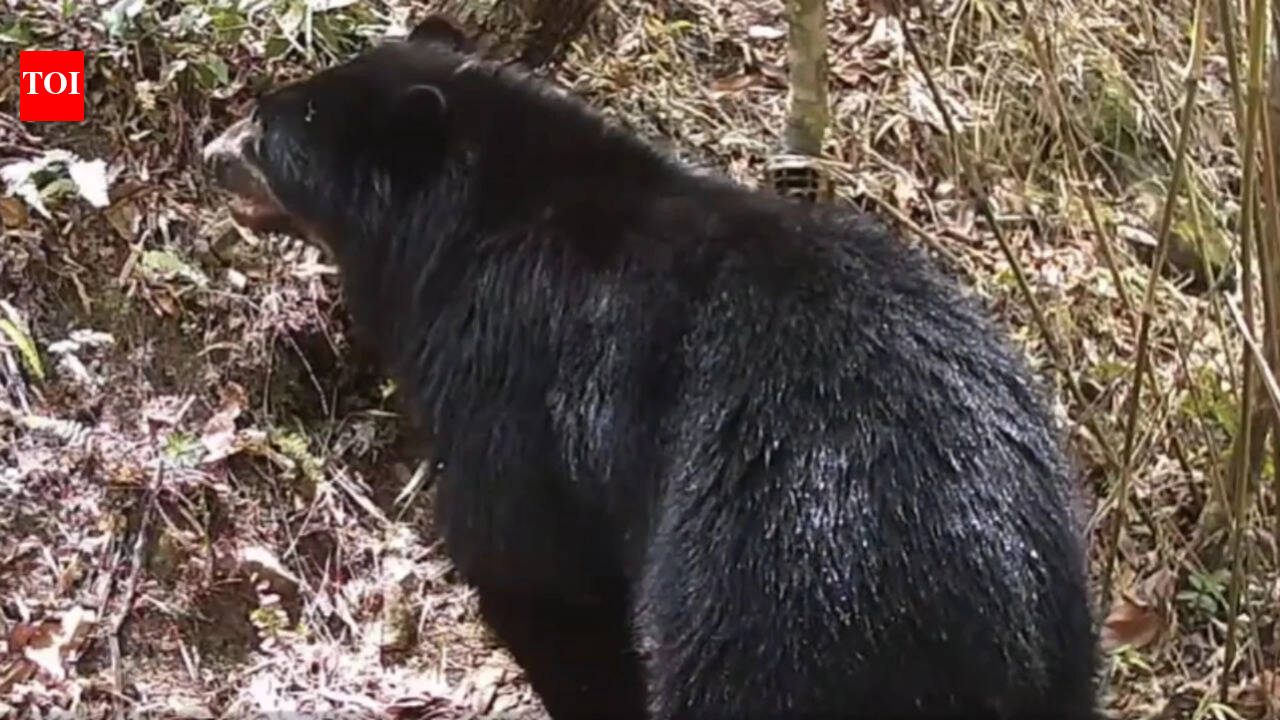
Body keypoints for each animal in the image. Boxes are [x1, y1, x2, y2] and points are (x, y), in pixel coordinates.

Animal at [202, 14, 1101, 720]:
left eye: (267, 133)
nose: (210, 153)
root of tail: (984, 569)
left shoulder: (507, 383)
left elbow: (534, 574)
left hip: (786, 587)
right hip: (1063, 622)